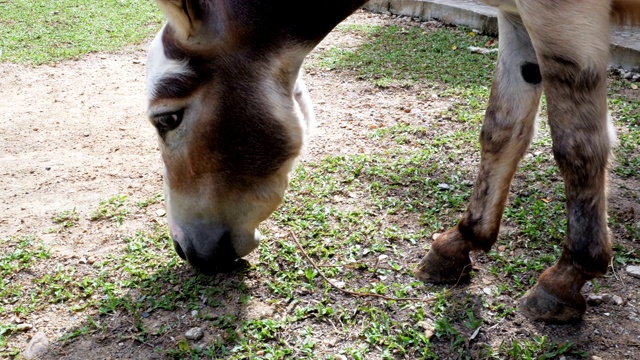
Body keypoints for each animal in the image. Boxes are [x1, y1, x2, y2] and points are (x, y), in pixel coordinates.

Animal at [148, 0, 640, 322]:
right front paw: (461, 242)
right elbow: (502, 128)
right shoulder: (518, 18)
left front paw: (569, 276)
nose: (185, 250)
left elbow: (577, 145)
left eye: (167, 118)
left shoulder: (563, 16)